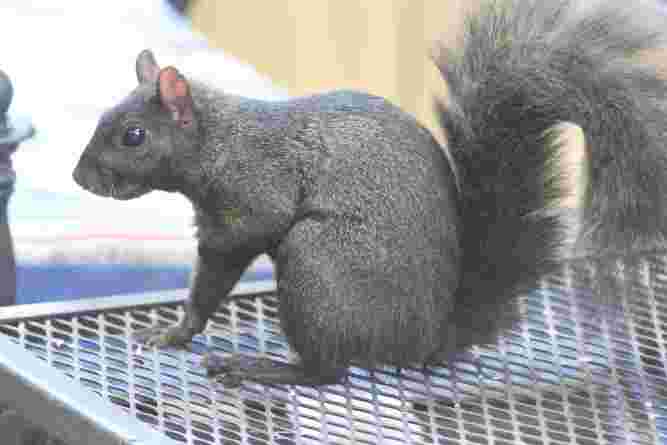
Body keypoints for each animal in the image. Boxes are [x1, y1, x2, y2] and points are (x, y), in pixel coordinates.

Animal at [73, 0, 667, 386]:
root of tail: (427, 339)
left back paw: (264, 368)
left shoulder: (253, 198)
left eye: (133, 136)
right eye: (103, 117)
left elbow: (220, 268)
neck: (221, 139)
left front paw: (179, 331)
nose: (80, 177)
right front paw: (172, 333)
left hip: (318, 263)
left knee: (329, 371)